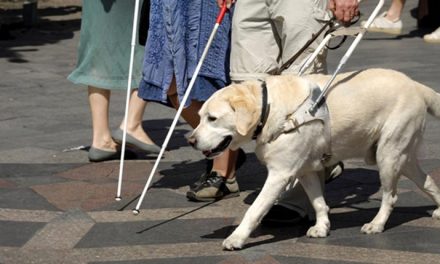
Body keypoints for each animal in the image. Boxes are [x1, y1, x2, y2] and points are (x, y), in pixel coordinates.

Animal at [187, 68, 440, 250]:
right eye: (199, 117)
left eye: (212, 118)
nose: (191, 140)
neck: (271, 109)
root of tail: (415, 85)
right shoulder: (306, 170)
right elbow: (318, 202)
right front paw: (322, 227)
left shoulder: (279, 174)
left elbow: (255, 209)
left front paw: (236, 238)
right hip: (402, 157)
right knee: (428, 181)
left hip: (388, 155)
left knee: (391, 196)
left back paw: (376, 224)